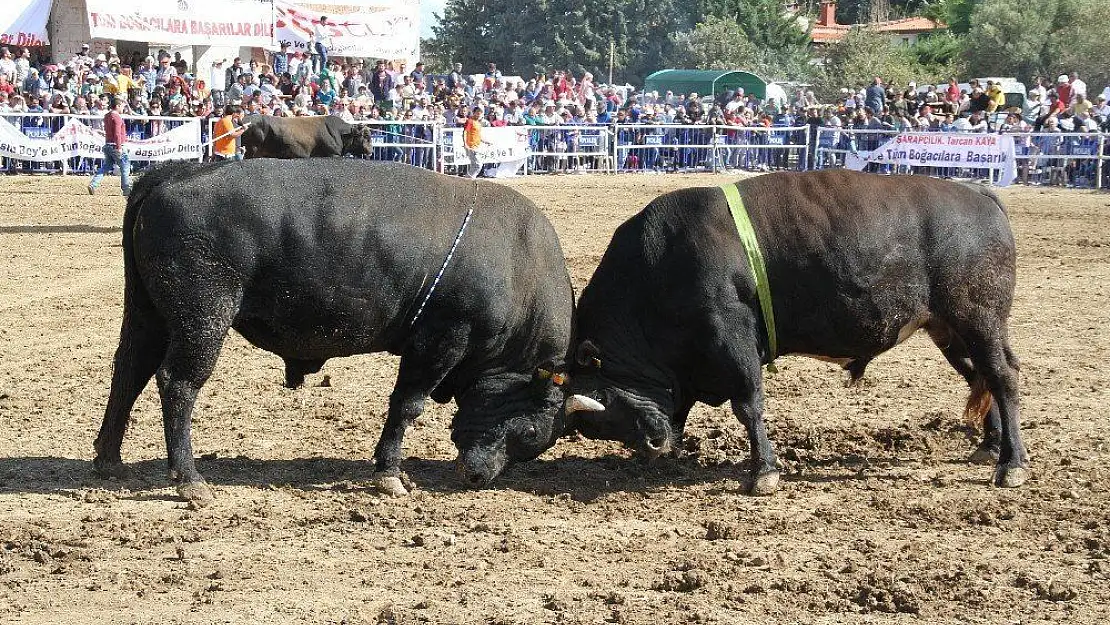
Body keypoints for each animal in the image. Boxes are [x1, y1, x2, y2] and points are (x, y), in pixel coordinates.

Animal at [95, 158, 581, 506]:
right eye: (532, 433)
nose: (480, 476)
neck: (517, 263)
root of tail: (173, 173)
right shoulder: (438, 342)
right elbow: (407, 405)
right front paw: (389, 474)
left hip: (149, 316)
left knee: (128, 373)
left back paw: (109, 458)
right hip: (203, 319)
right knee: (177, 384)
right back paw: (189, 479)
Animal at [568, 169, 1025, 495]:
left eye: (606, 397)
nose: (652, 443)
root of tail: (979, 195)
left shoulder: (733, 339)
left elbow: (748, 406)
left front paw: (763, 472)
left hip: (978, 319)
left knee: (1002, 378)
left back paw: (1012, 463)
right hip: (949, 331)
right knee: (981, 376)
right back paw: (990, 446)